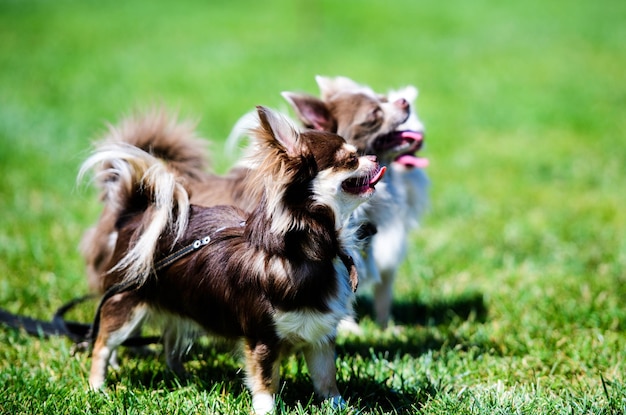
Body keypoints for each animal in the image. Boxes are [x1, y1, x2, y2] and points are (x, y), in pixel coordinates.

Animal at [80, 105, 382, 414]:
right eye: (351, 159)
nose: (374, 157)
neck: (313, 250)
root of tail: (133, 215)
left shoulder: (320, 335)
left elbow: (326, 378)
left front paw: (342, 407)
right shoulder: (263, 337)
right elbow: (266, 380)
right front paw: (266, 410)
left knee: (170, 340)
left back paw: (182, 377)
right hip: (127, 306)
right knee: (103, 344)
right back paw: (97, 387)